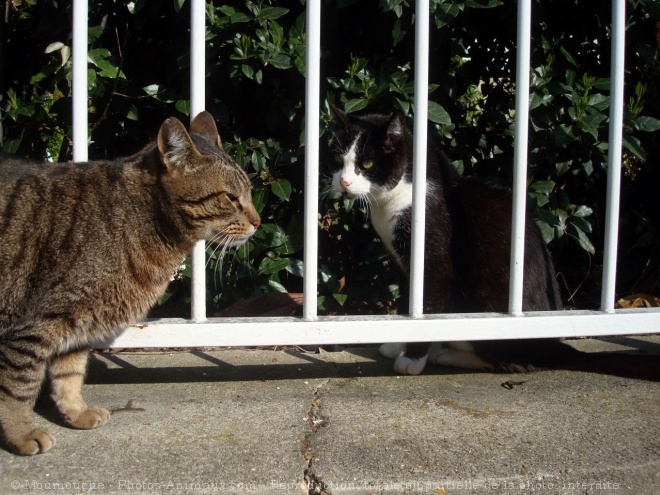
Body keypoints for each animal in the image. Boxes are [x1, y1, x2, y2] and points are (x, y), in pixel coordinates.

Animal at [0, 110, 260, 456]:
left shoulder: (74, 324)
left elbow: (69, 373)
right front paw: (21, 432)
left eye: (250, 194)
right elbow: (19, 386)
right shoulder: (35, 323)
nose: (259, 221)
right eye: (231, 198)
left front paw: (75, 412)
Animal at [328, 104, 584, 376]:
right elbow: (409, 301)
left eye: (367, 163)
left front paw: (412, 358)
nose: (343, 181)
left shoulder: (435, 259)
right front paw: (398, 344)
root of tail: (551, 344)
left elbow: (427, 305)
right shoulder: (402, 264)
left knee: (512, 361)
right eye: (338, 160)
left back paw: (444, 354)